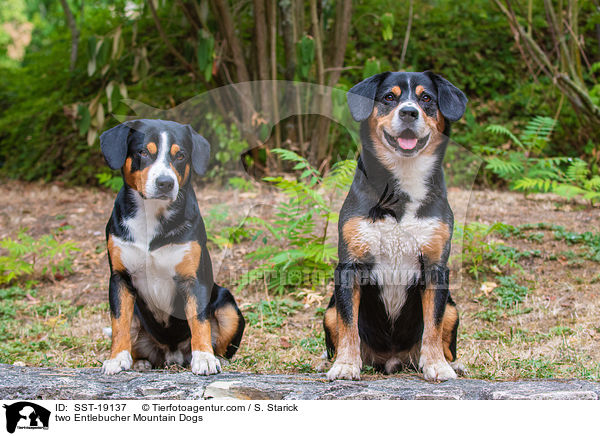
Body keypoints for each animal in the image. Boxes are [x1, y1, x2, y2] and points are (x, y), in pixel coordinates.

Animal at [101, 118, 244, 374]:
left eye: (180, 155)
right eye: (143, 152)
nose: (165, 183)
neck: (151, 218)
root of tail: (173, 355)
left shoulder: (193, 279)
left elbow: (199, 320)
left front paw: (204, 358)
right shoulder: (119, 278)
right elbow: (118, 322)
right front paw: (117, 357)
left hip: (227, 305)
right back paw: (140, 362)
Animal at [324, 71, 468, 382]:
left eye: (426, 98)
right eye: (390, 97)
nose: (409, 112)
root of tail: (391, 361)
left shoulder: (436, 267)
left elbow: (433, 326)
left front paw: (437, 365)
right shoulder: (350, 266)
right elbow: (348, 325)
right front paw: (346, 365)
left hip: (452, 307)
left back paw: (453, 363)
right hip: (328, 310)